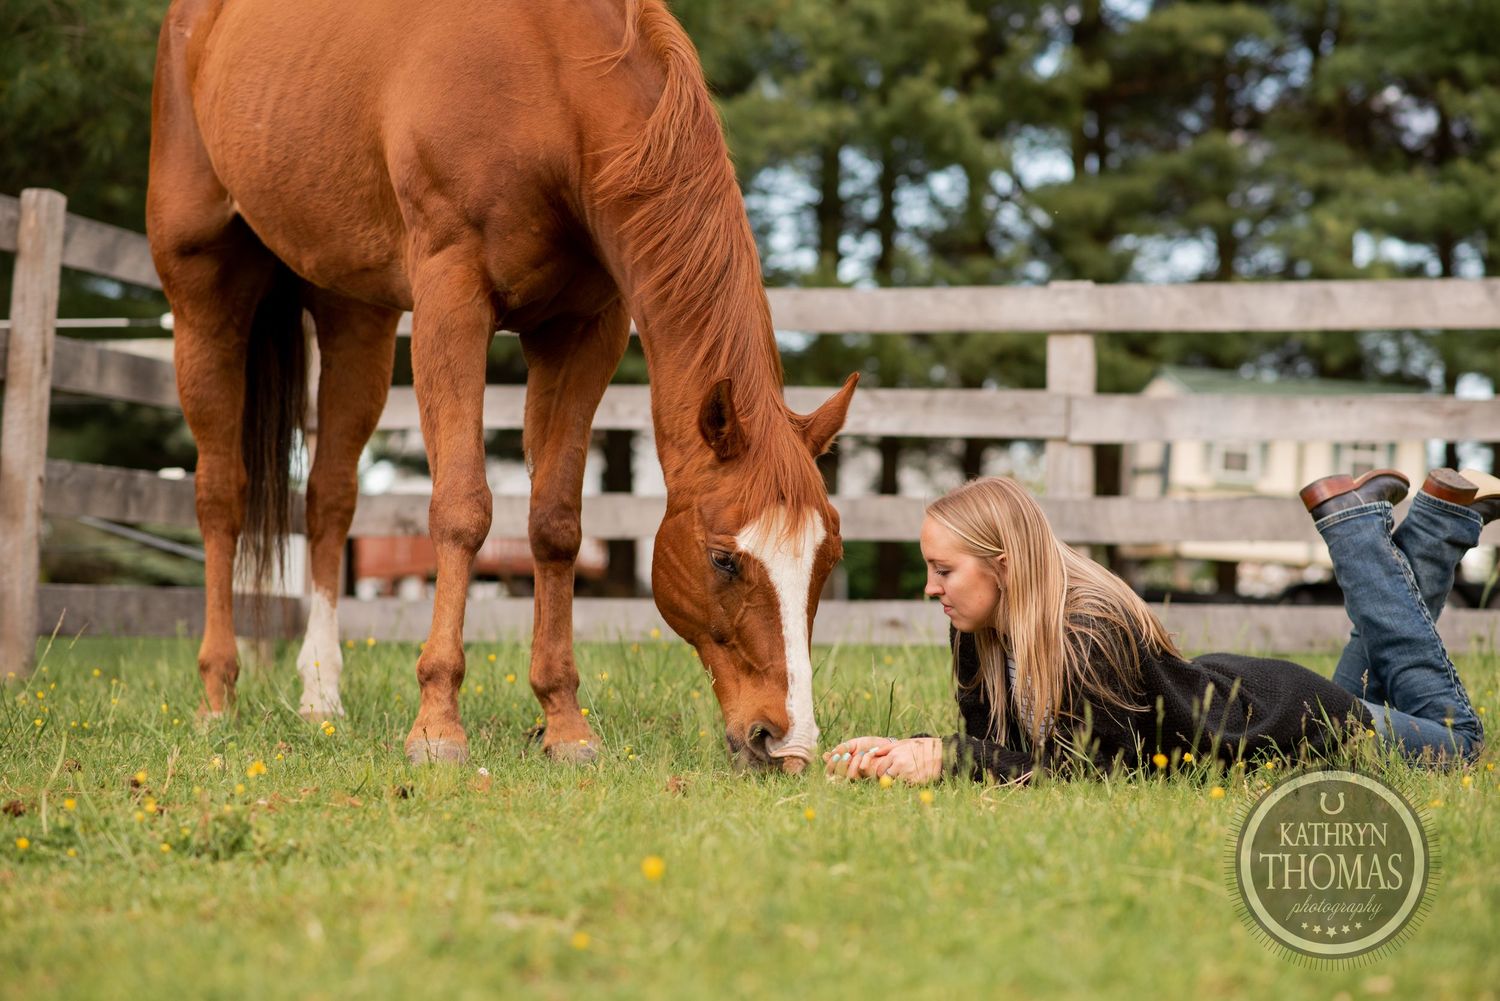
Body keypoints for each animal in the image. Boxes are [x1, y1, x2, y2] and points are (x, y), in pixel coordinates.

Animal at [146, 0, 857, 773]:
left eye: (829, 558)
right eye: (724, 560)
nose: (786, 741)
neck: (553, 87)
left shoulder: (584, 330)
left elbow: (556, 523)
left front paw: (564, 723)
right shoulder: (452, 300)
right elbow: (462, 509)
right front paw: (437, 726)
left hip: (355, 316)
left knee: (329, 500)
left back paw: (320, 696)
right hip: (203, 296)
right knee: (222, 495)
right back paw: (217, 696)